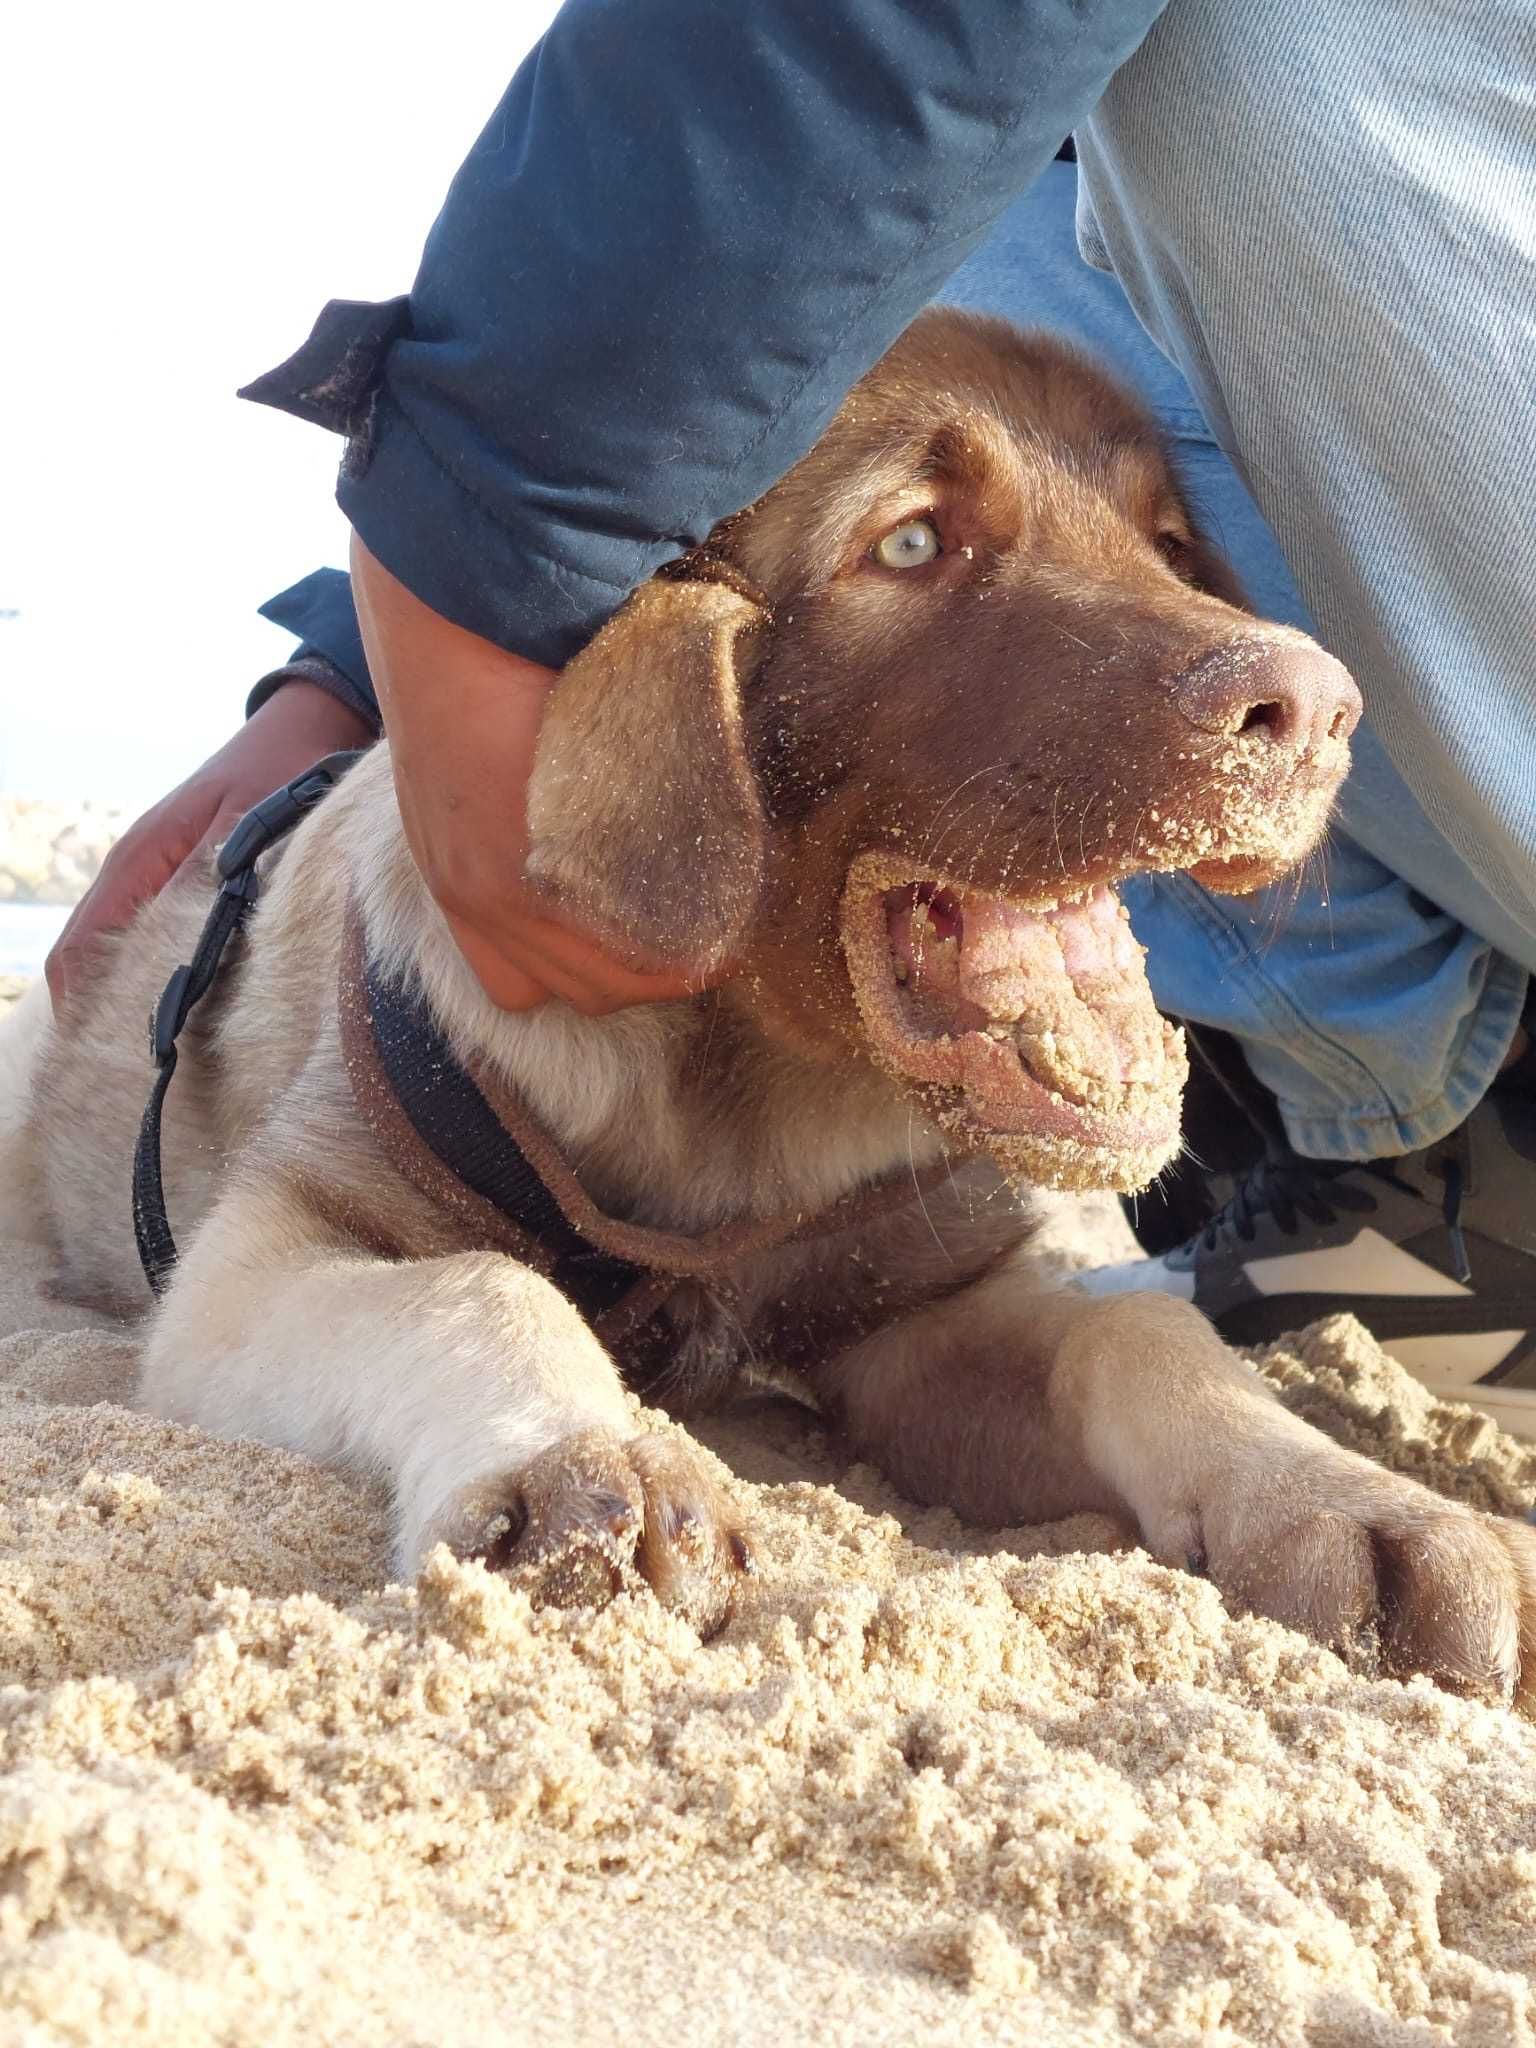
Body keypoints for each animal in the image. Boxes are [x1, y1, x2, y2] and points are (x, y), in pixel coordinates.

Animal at [6, 315, 1531, 1695]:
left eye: (1168, 545)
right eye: (909, 544)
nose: (1318, 711)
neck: (748, 1104)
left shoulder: (931, 1310)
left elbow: (1142, 1330)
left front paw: (1351, 1498)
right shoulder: (257, 1256)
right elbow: (476, 1283)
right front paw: (586, 1453)